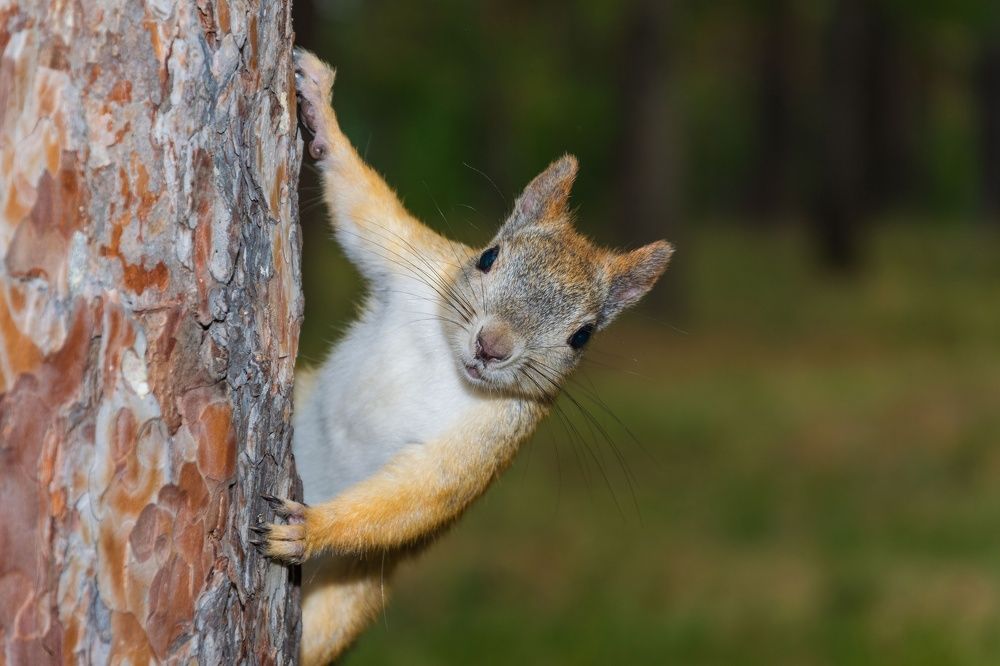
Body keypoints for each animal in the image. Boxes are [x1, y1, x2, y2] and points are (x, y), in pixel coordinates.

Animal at [254, 48, 674, 665]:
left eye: (582, 336)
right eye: (487, 257)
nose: (491, 347)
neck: (445, 361)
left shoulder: (494, 435)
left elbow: (423, 492)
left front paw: (310, 530)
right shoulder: (413, 263)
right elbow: (363, 209)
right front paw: (318, 104)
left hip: (347, 600)